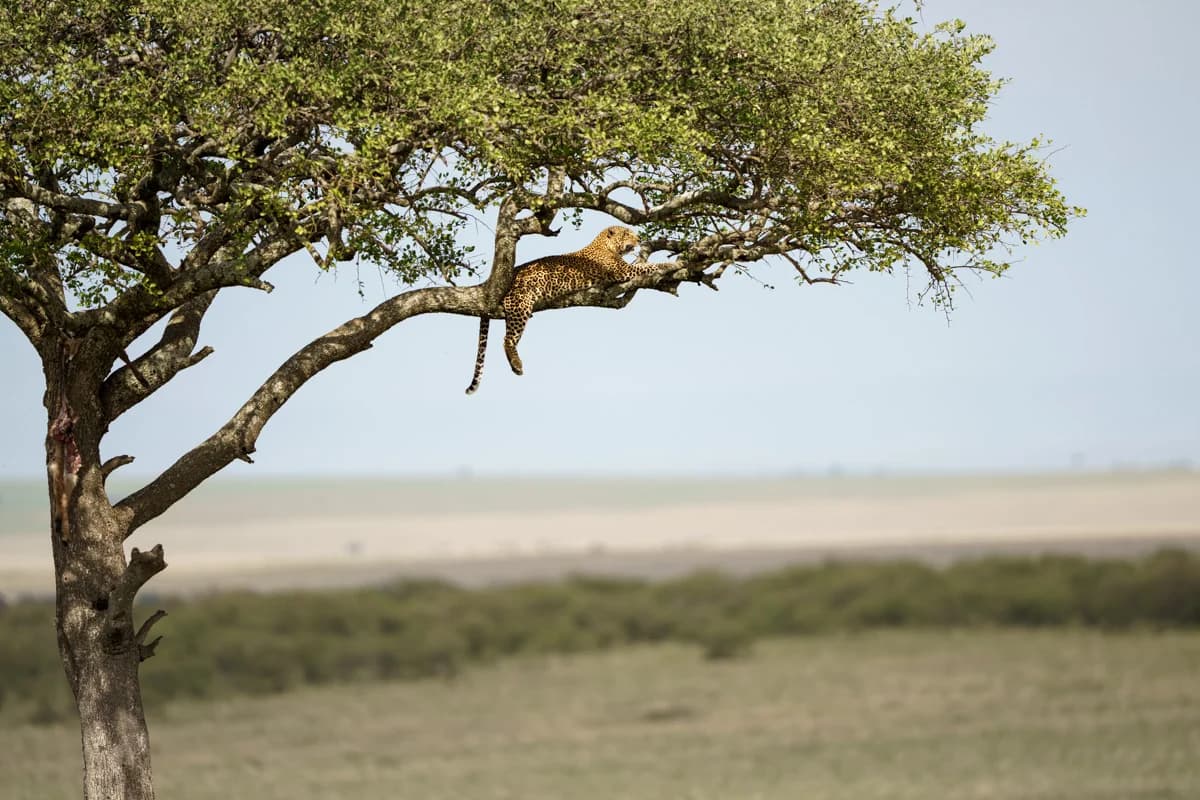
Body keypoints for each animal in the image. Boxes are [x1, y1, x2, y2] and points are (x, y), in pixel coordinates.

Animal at [465, 225, 658, 394]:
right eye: (626, 234)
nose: (639, 239)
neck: (605, 245)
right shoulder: (623, 270)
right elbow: (647, 267)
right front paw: (664, 266)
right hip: (520, 303)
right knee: (507, 339)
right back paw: (517, 363)